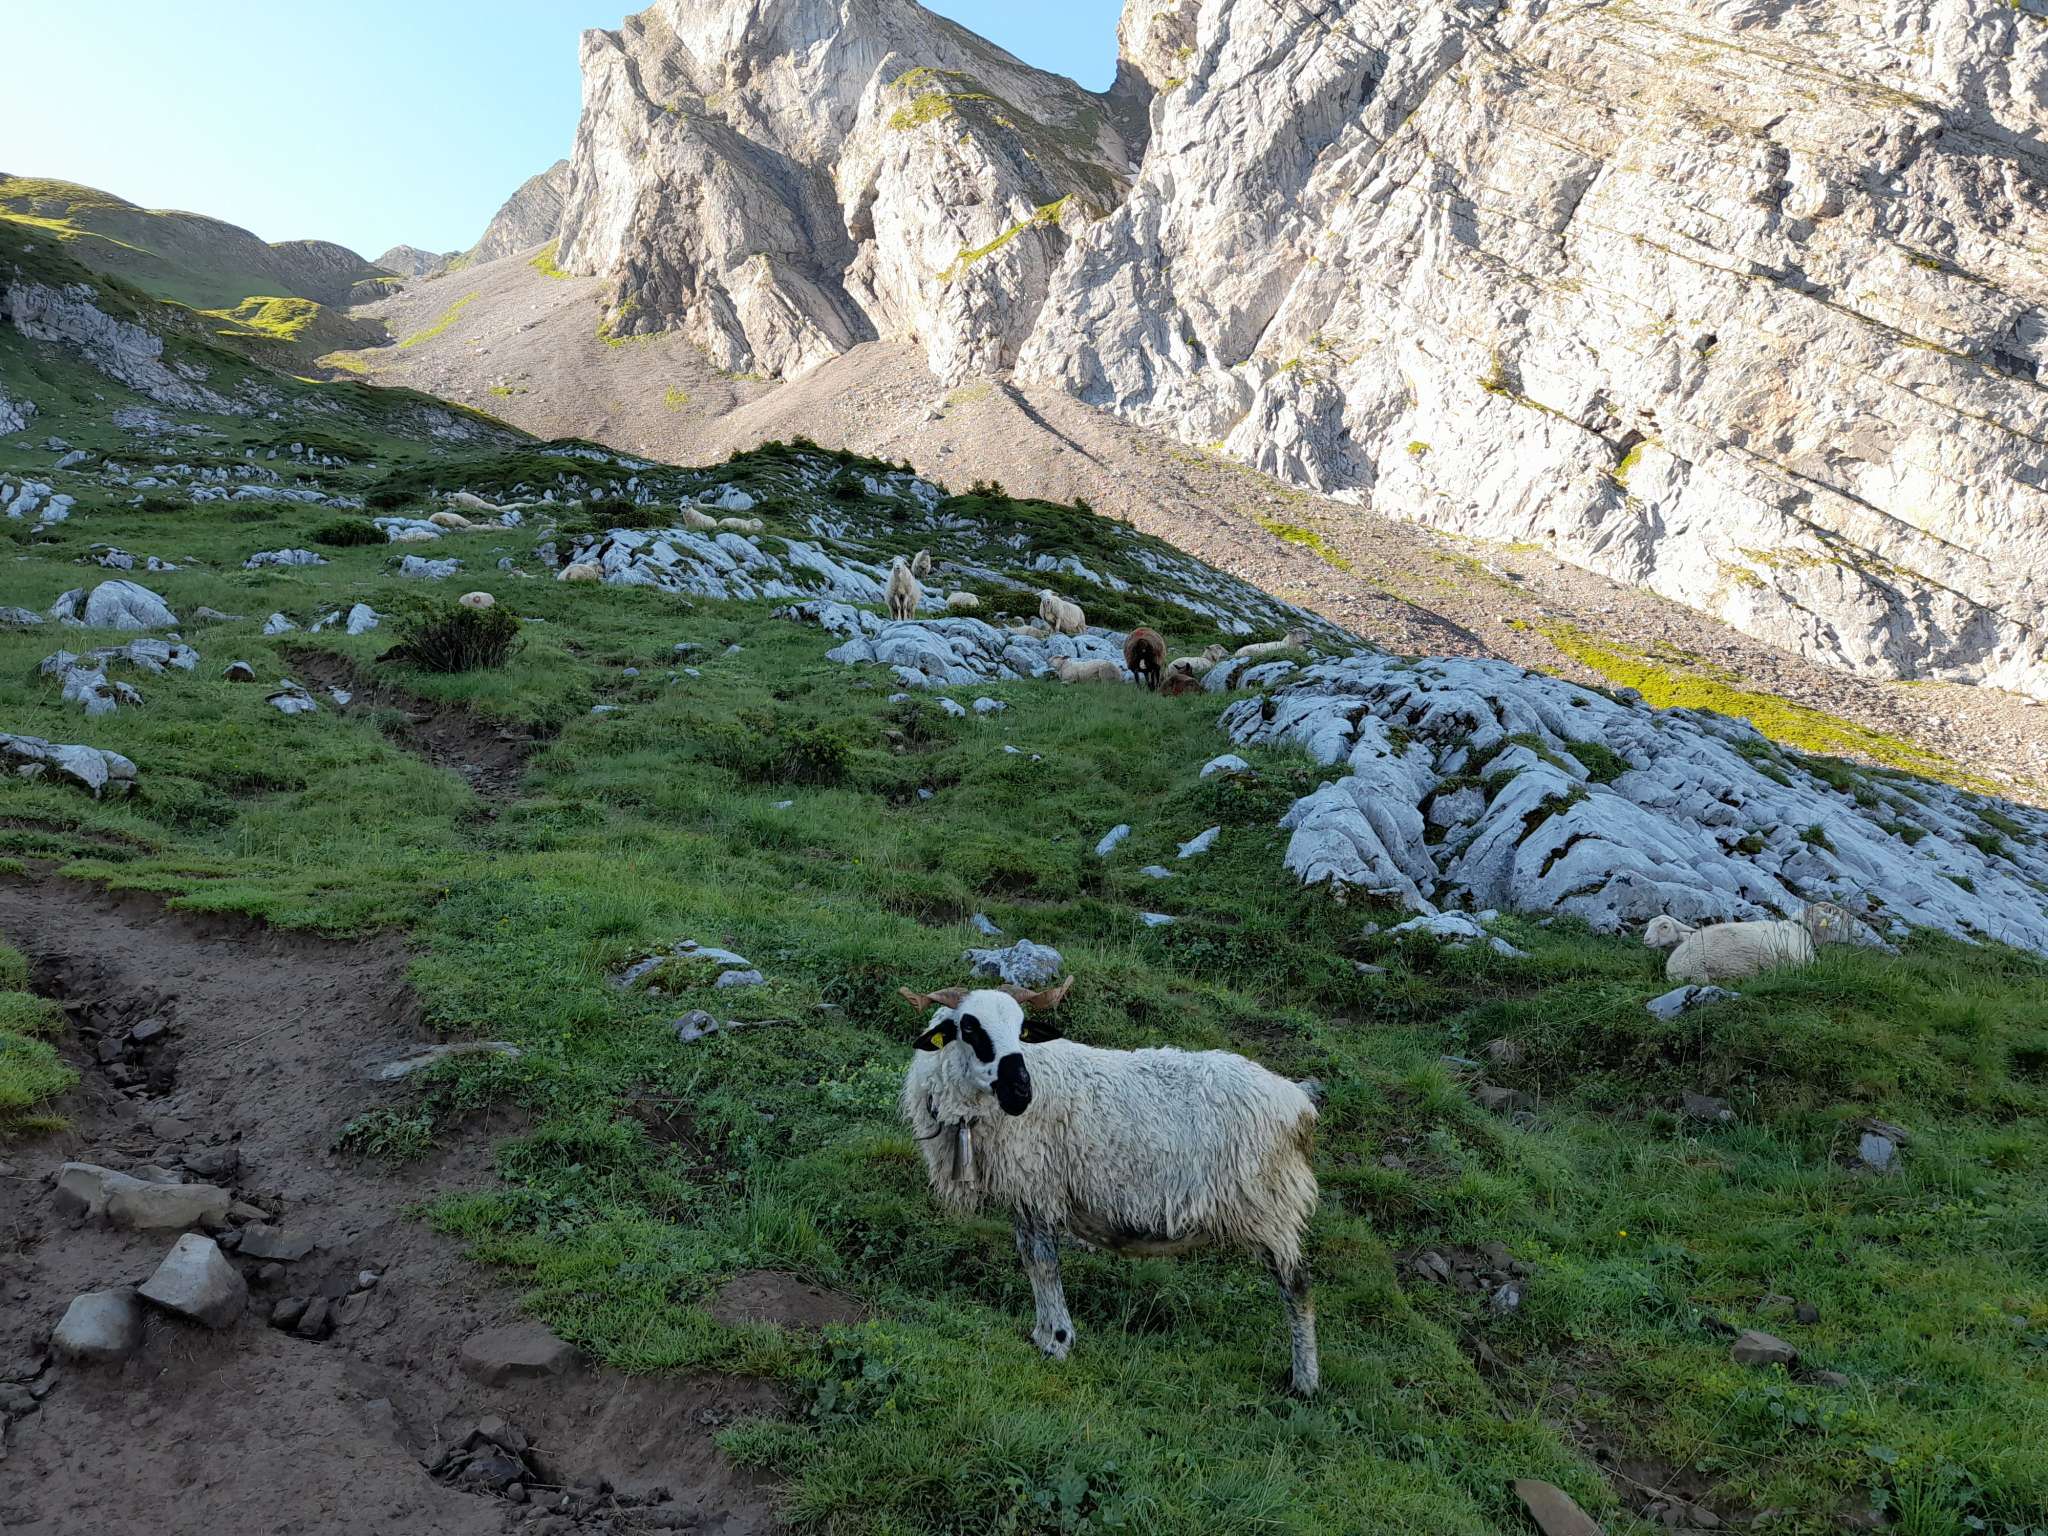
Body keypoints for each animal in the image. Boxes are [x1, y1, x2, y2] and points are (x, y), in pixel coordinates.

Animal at [899, 981, 1321, 1394]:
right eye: (970, 1028)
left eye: (1021, 1029)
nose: (1021, 1091)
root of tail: (1298, 1103)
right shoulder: (1025, 1192)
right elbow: (1031, 1258)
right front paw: (1042, 1334)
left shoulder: (1039, 1186)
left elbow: (1043, 1262)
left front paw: (1058, 1340)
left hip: (1269, 1203)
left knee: (1297, 1284)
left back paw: (1305, 1382)